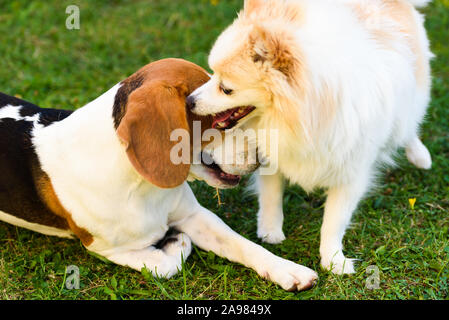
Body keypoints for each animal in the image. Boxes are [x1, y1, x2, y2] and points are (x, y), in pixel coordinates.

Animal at [0, 58, 316, 292]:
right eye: (221, 120)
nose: (264, 157)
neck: (140, 185)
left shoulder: (193, 215)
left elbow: (245, 245)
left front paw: (288, 269)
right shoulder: (107, 248)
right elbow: (165, 265)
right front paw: (176, 242)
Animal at [187, 0, 432, 276]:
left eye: (226, 89)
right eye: (211, 74)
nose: (189, 101)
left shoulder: (351, 171)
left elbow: (335, 219)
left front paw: (333, 259)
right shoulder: (273, 150)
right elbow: (271, 192)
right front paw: (270, 230)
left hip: (410, 96)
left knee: (407, 126)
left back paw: (419, 155)